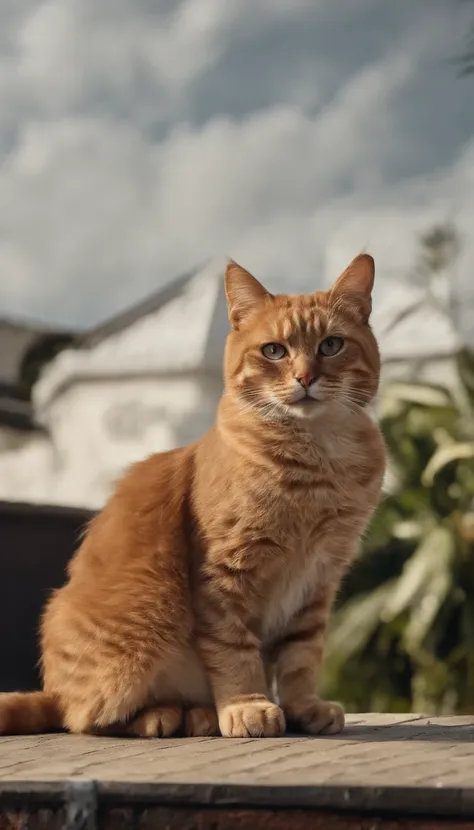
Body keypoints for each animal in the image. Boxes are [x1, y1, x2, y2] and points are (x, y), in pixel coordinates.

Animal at [0, 255, 386, 740]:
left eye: (331, 345)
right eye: (274, 351)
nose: (305, 378)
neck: (317, 465)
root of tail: (53, 692)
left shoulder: (318, 580)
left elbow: (302, 656)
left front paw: (302, 707)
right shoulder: (225, 575)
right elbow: (234, 650)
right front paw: (247, 706)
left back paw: (197, 714)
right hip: (142, 626)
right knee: (87, 718)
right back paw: (163, 715)